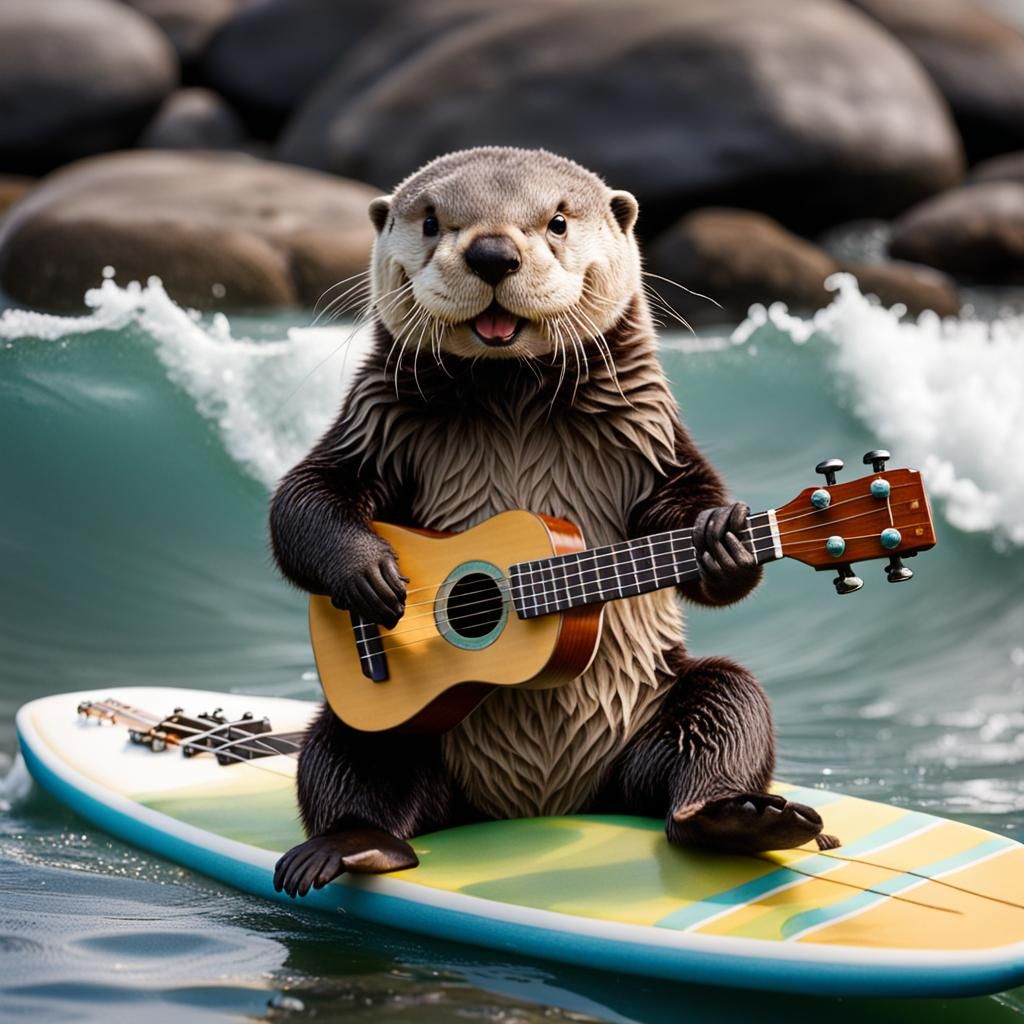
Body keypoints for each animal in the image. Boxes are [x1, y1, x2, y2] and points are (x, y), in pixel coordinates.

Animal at [270, 147, 837, 898]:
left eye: (558, 222)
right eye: (431, 221)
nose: (492, 252)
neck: (511, 395)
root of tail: (542, 808)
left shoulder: (653, 433)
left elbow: (689, 499)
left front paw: (723, 541)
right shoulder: (374, 418)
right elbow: (304, 497)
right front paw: (368, 575)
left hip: (666, 720)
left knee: (724, 715)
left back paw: (744, 820)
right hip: (378, 727)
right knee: (351, 760)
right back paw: (346, 846)